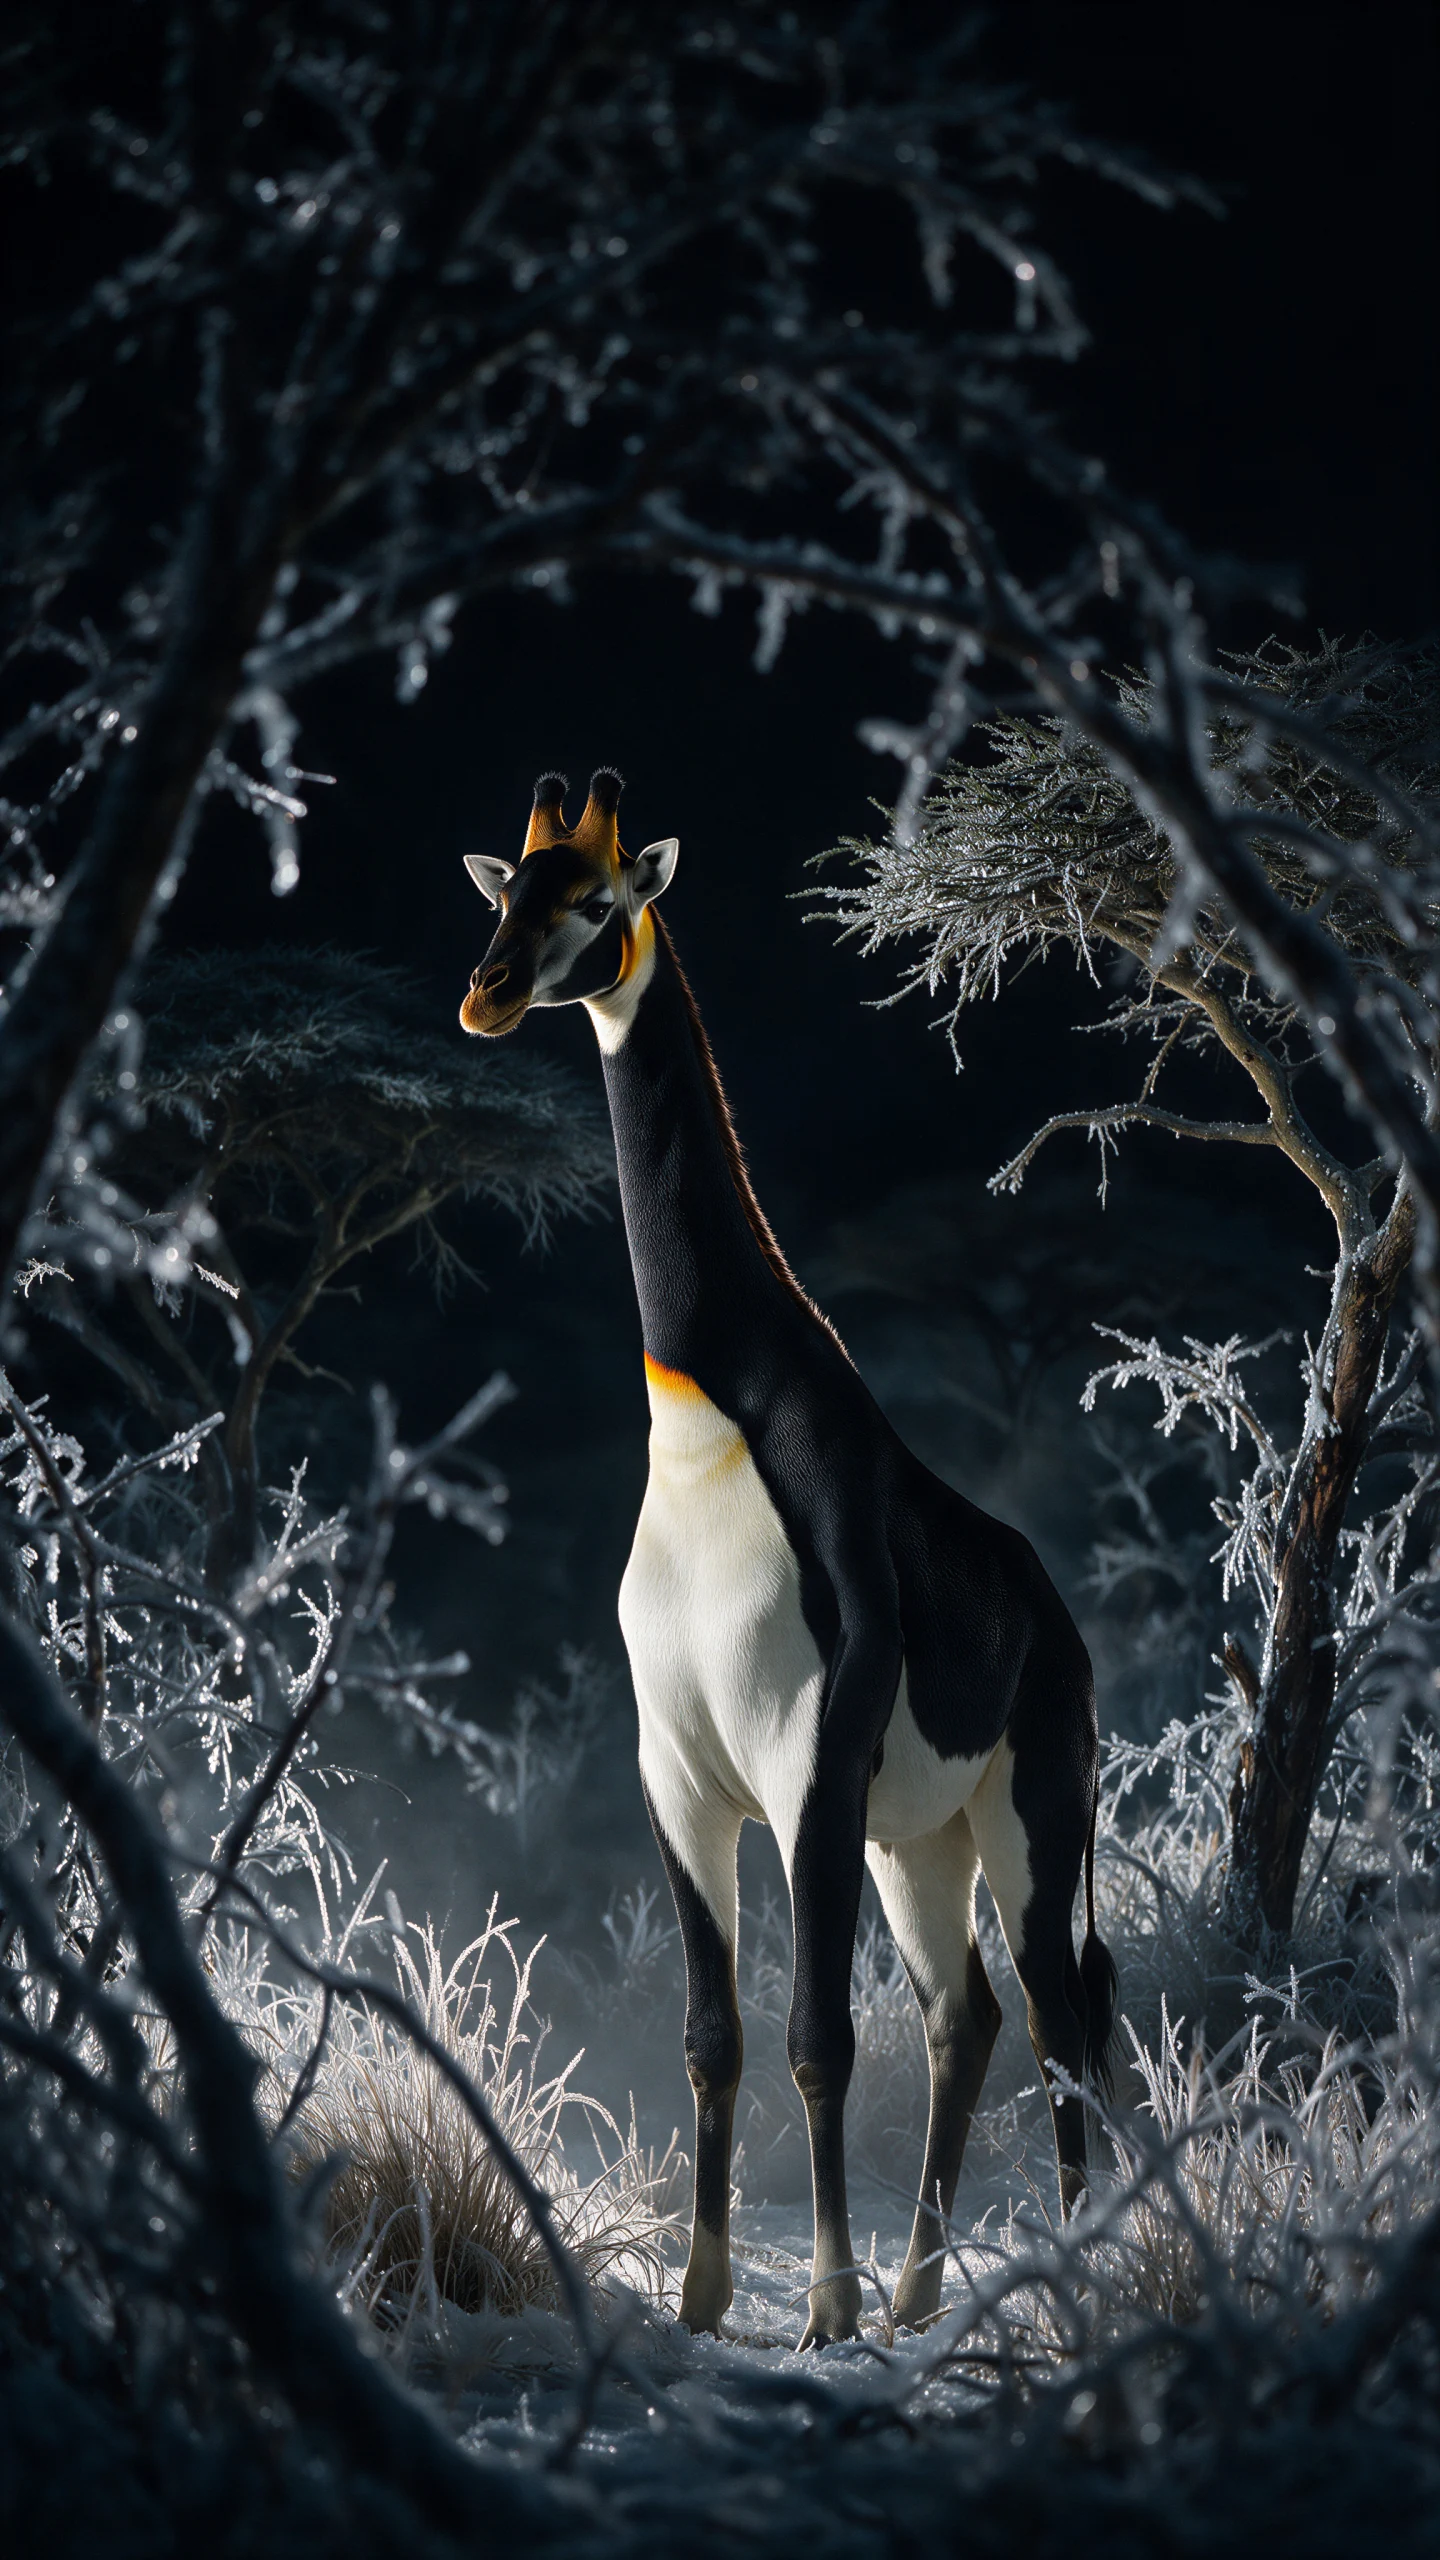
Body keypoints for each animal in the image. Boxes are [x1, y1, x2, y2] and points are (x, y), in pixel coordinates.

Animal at [460, 767, 1117, 2346]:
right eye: (509, 891)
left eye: (596, 898)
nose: (487, 995)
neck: (708, 1409)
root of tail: (1060, 1629)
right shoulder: (682, 1778)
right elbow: (715, 2034)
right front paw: (705, 2298)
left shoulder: (808, 1762)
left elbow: (821, 2035)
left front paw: (819, 2309)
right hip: (921, 1842)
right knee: (968, 2015)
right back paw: (921, 2293)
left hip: (1030, 1814)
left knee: (1058, 2015)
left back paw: (1054, 2282)